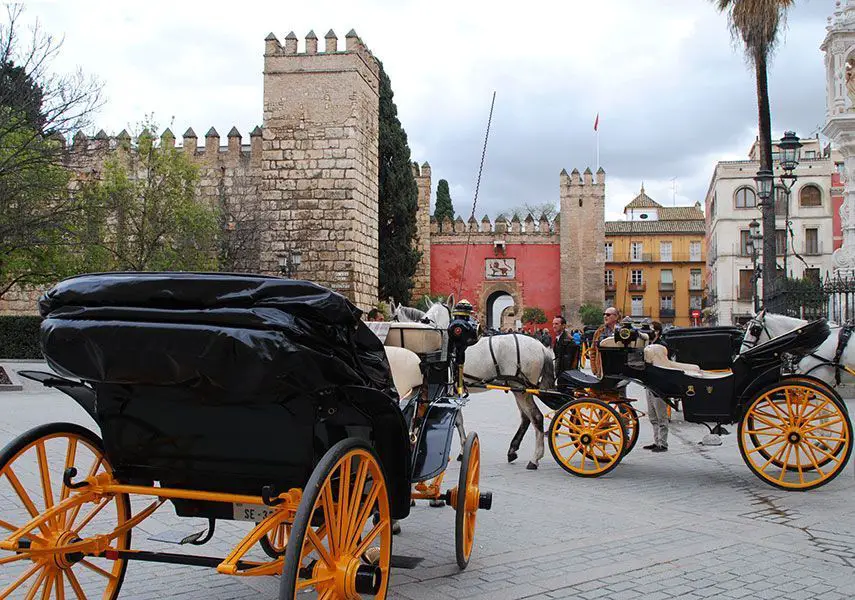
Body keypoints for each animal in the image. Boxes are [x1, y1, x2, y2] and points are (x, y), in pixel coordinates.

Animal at [388, 296, 556, 468]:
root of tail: (541, 347)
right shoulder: (453, 391)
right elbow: (458, 420)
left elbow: (455, 420)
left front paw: (462, 448)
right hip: (519, 388)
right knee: (526, 418)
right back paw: (513, 450)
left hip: (522, 389)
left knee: (536, 417)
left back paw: (535, 458)